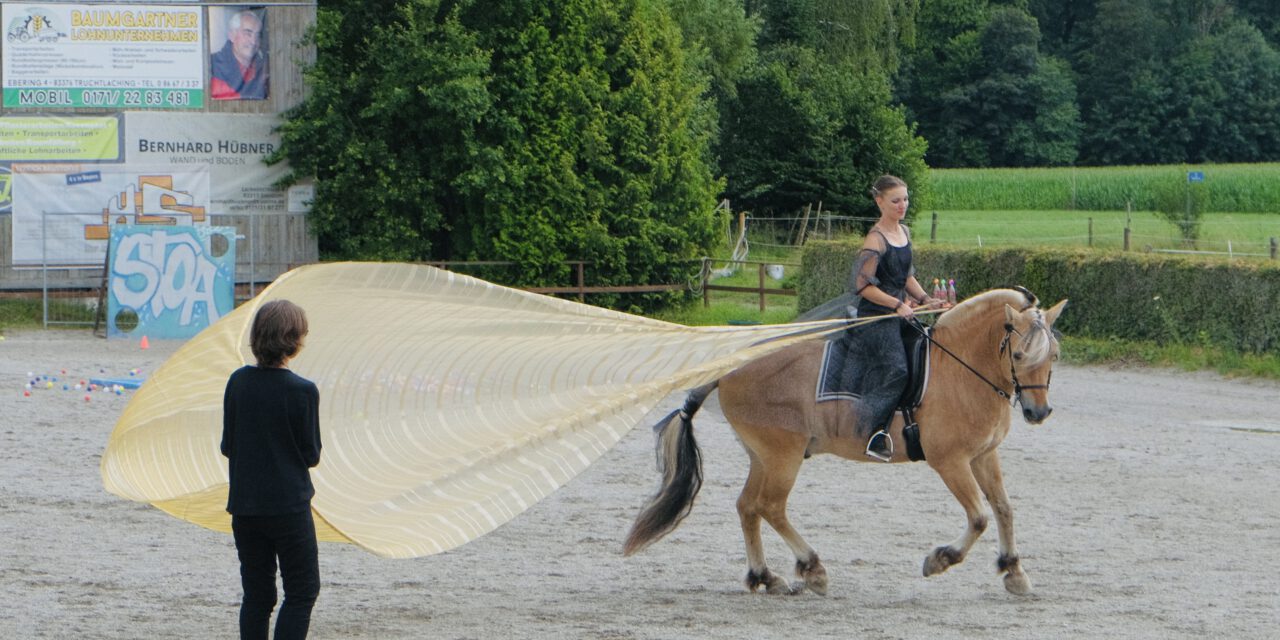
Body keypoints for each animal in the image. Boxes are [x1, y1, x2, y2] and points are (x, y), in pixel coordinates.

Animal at [624, 288, 1064, 596]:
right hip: (782, 456)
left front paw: (1014, 570)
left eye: (1054, 354)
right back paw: (812, 567)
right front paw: (940, 559)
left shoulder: (983, 456)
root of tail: (732, 364)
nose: (1038, 412)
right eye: (1020, 354)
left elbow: (1004, 509)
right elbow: (979, 517)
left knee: (748, 506)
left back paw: (765, 576)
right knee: (770, 507)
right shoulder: (951, 462)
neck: (960, 368)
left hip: (763, 456)